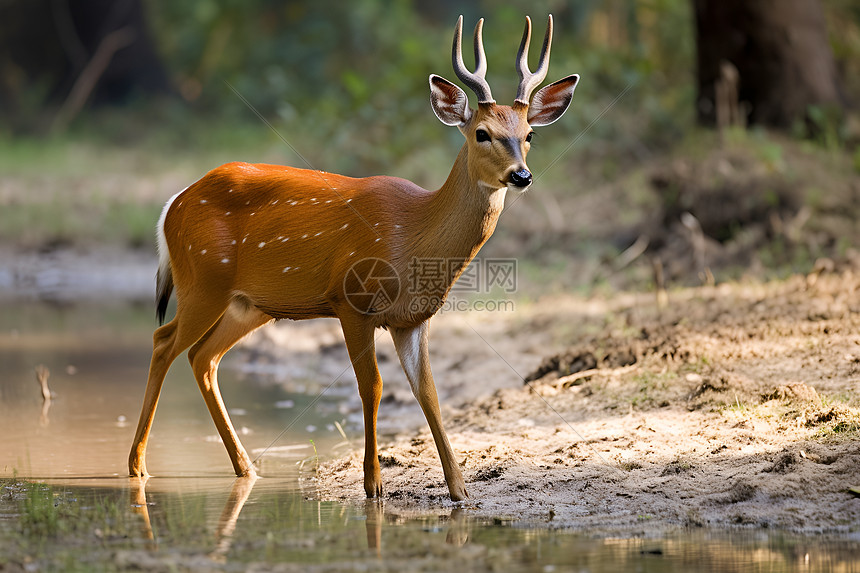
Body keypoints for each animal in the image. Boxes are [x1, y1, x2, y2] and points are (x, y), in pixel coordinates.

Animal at [127, 14, 576, 500]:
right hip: (203, 280)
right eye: (482, 133)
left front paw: (459, 490)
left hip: (249, 304)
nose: (521, 175)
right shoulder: (351, 300)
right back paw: (136, 466)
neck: (413, 237)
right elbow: (372, 386)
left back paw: (245, 467)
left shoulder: (413, 318)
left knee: (202, 357)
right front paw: (373, 484)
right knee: (164, 341)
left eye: (529, 135)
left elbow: (429, 393)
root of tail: (172, 204)